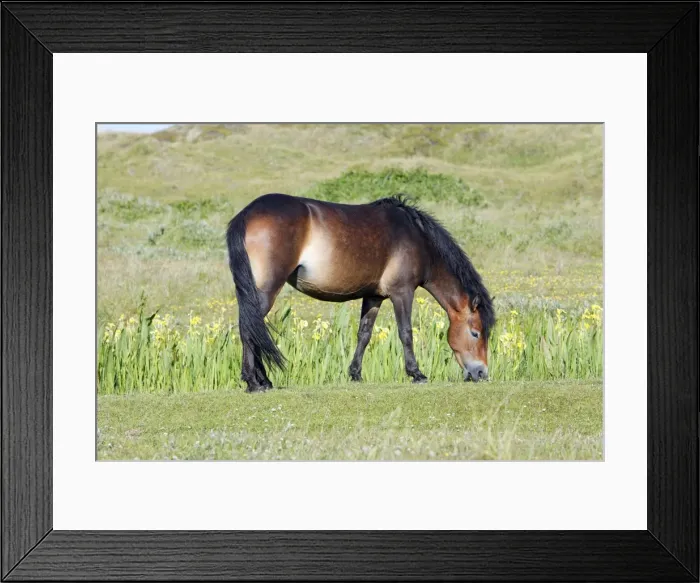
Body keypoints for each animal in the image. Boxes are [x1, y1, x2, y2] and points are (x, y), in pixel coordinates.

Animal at [226, 193, 495, 393]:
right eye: (475, 333)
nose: (481, 373)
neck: (418, 239)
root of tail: (247, 213)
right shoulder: (402, 292)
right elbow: (406, 333)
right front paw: (416, 373)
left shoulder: (374, 296)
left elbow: (363, 334)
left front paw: (355, 374)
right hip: (266, 289)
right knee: (249, 326)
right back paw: (254, 382)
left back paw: (262, 380)